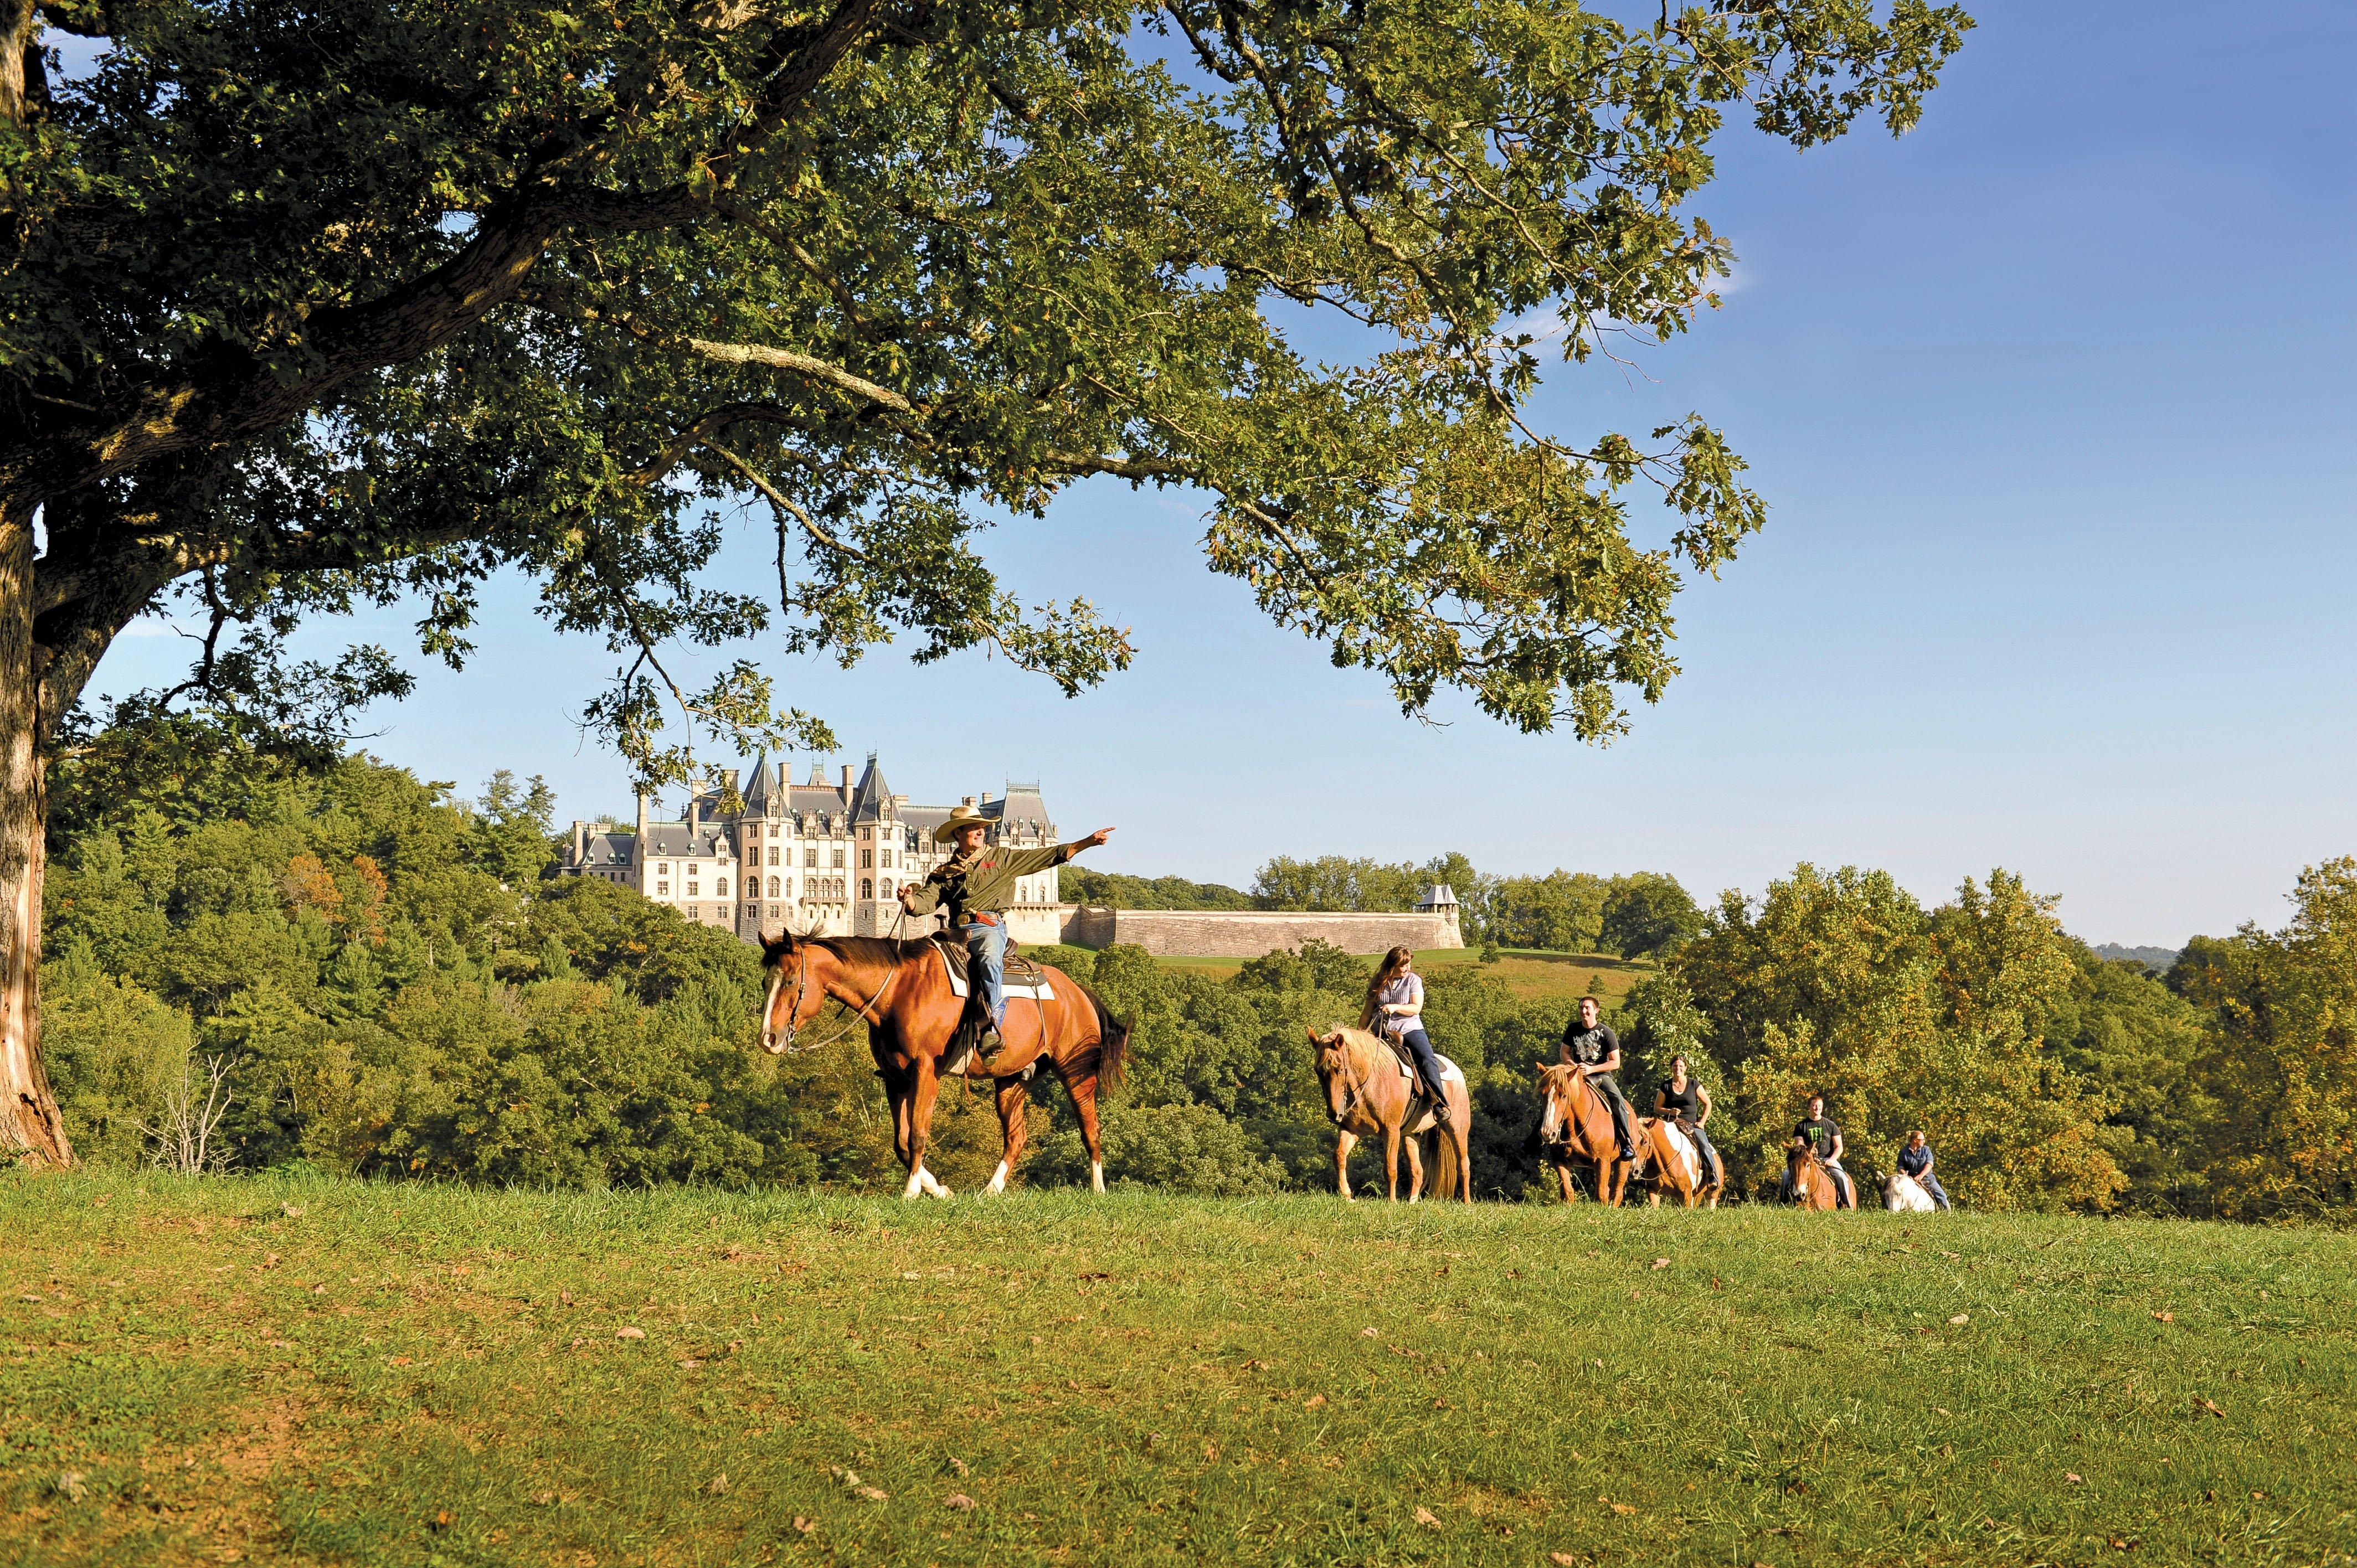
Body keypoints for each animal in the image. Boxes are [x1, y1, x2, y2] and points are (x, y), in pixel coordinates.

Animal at [754, 929, 1121, 1198]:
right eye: (765, 981)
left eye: (790, 981)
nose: (768, 1039)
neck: (899, 990)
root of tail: (1078, 992)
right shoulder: (895, 1079)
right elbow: (901, 1142)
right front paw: (939, 1189)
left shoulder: (926, 1072)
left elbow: (918, 1134)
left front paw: (912, 1191)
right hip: (1012, 1081)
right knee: (1016, 1138)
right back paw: (990, 1191)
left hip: (1076, 1074)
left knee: (1091, 1129)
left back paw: (1098, 1189)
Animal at [1310, 1023, 1470, 1202]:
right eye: (1318, 1071)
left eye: (1339, 1069)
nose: (1334, 1114)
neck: (1371, 1081)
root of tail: (1457, 1072)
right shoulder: (1351, 1130)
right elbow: (1339, 1156)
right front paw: (1347, 1195)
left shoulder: (1391, 1130)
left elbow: (1390, 1168)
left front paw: (1392, 1201)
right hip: (1411, 1135)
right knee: (1418, 1171)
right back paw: (1412, 1202)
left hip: (1457, 1129)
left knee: (1463, 1166)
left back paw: (1467, 1202)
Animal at [1527, 1056, 1640, 1202]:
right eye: (1542, 1094)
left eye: (1564, 1095)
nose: (1547, 1133)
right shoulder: (1560, 1161)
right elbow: (1568, 1193)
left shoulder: (1603, 1161)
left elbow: (1601, 1196)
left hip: (1623, 1163)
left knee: (1617, 1193)